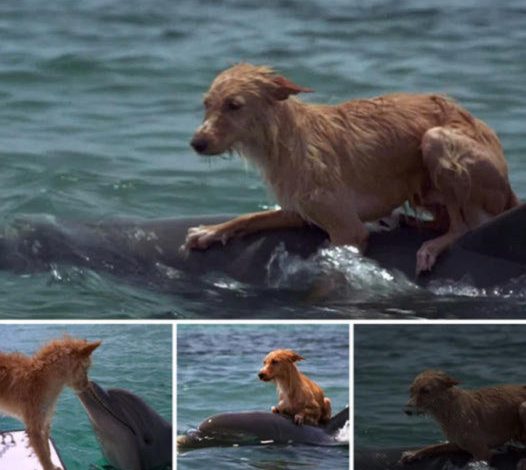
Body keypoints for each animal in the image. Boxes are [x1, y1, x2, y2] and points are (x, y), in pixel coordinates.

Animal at [187, 63, 520, 276]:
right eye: (206, 104)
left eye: (234, 105)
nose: (196, 143)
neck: (283, 141)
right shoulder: (300, 210)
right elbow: (250, 217)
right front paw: (210, 231)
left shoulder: (347, 231)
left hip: (435, 140)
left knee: (463, 226)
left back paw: (432, 245)